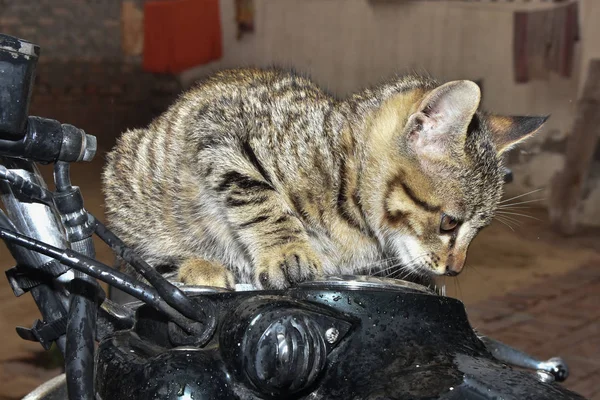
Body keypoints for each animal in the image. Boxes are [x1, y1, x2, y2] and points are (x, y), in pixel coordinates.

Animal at [102, 68, 544, 288]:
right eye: (449, 223)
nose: (455, 270)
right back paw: (198, 265)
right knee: (139, 255)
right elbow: (261, 199)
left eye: (479, 232)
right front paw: (288, 252)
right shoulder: (220, 129)